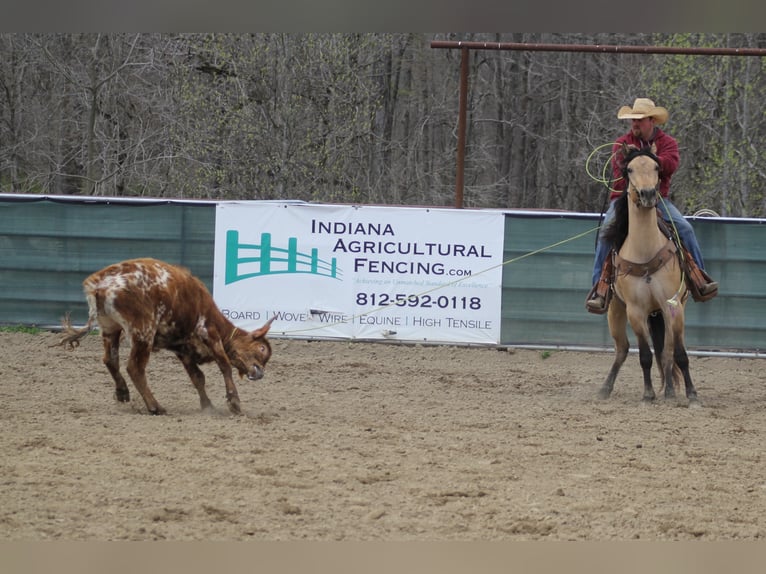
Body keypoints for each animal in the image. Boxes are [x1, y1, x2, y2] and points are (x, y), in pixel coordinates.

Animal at [59, 258, 276, 416]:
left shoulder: (184, 350)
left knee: (110, 360)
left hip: (110, 327)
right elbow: (224, 366)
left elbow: (198, 377)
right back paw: (155, 407)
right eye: (262, 349)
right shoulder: (209, 334)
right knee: (135, 368)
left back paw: (122, 392)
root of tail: (101, 284)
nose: (260, 373)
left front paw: (207, 405)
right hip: (143, 332)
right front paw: (234, 402)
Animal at [600, 144, 704, 408]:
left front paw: (692, 394)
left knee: (667, 351)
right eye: (629, 169)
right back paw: (605, 387)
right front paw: (647, 395)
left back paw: (669, 390)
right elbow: (645, 355)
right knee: (622, 349)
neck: (645, 251)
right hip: (615, 311)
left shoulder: (673, 306)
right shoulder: (635, 311)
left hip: (669, 313)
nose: (647, 194)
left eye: (657, 167)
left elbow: (679, 354)